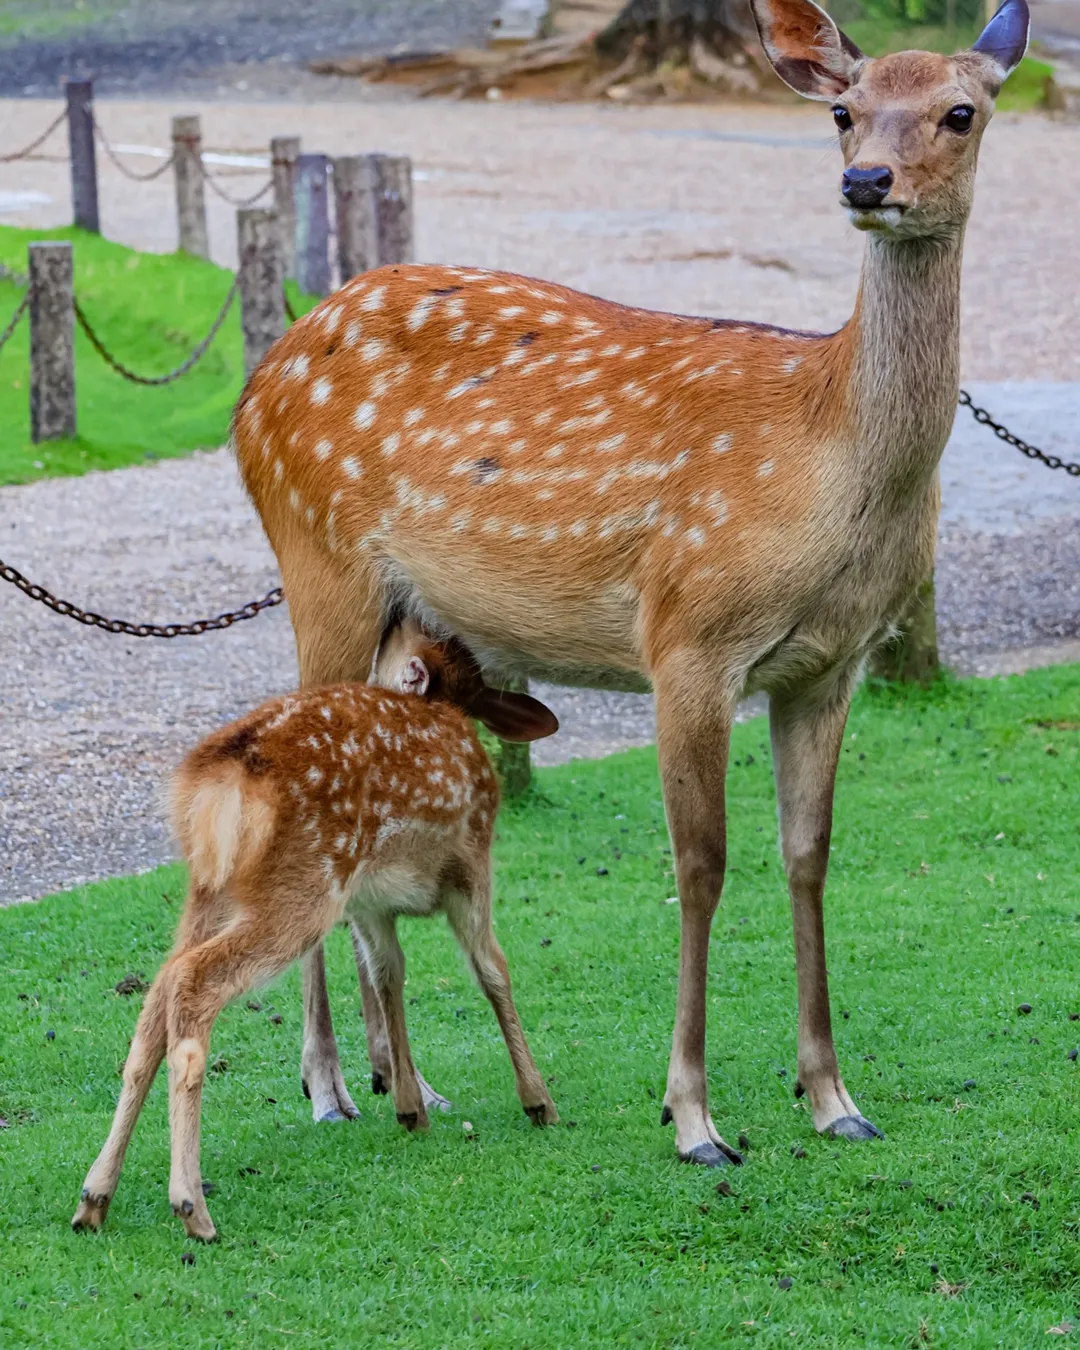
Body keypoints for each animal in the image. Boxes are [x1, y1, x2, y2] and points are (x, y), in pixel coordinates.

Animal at [233, 0, 1031, 1161]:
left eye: (960, 111)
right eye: (844, 109)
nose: (866, 181)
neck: (830, 459)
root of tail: (253, 389)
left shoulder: (832, 662)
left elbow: (808, 853)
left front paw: (834, 1097)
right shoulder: (689, 634)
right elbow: (700, 864)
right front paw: (693, 1114)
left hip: (399, 616)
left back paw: (402, 1078)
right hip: (316, 563)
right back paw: (328, 1084)